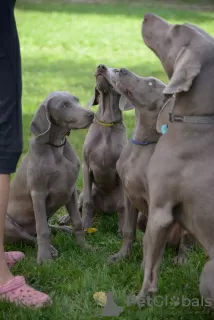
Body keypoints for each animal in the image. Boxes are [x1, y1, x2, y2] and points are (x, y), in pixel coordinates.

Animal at [4, 91, 94, 264]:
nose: (92, 114)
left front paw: (84, 247)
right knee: (32, 236)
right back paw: (51, 249)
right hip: (8, 224)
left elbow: (77, 221)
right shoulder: (38, 193)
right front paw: (44, 259)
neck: (57, 147)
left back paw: (65, 229)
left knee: (48, 228)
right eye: (64, 105)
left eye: (77, 100)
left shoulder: (70, 190)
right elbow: (42, 230)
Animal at [137, 13, 214, 308]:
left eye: (177, 29)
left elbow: (150, 262)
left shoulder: (160, 210)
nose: (146, 14)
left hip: (207, 271)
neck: (196, 119)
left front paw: (141, 298)